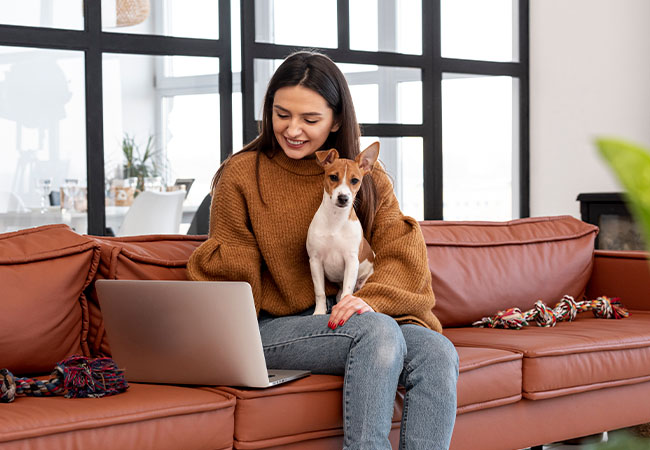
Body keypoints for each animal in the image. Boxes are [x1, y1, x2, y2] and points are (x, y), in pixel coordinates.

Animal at [306, 142, 378, 314]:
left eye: (355, 180)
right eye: (333, 177)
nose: (343, 198)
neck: (335, 221)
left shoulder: (351, 261)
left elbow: (347, 291)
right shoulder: (315, 261)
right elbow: (320, 292)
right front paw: (319, 312)